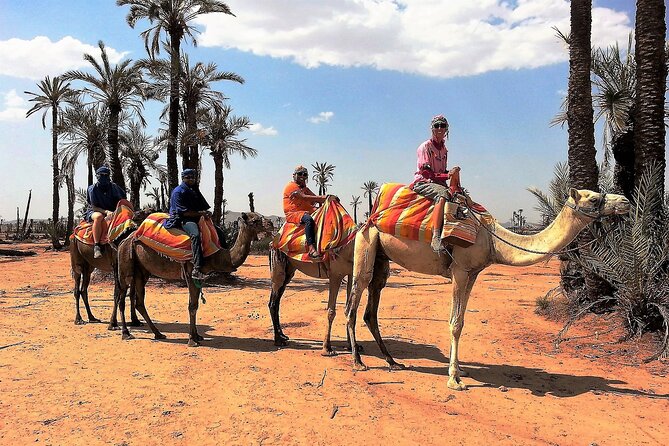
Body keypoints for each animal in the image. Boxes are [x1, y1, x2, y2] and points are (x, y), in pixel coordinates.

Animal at [116, 214, 272, 346]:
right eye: (255, 220)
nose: (270, 224)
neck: (215, 254)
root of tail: (124, 240)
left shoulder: (199, 277)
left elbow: (195, 305)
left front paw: (197, 336)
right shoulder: (191, 273)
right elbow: (192, 306)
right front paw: (192, 340)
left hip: (141, 272)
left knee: (139, 302)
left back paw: (158, 334)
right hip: (125, 267)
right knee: (121, 297)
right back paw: (126, 333)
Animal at [348, 188, 628, 390]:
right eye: (594, 198)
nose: (625, 200)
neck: (493, 240)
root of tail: (368, 220)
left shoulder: (473, 274)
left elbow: (462, 321)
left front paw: (460, 369)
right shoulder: (460, 271)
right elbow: (454, 324)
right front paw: (454, 379)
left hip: (382, 259)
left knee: (370, 310)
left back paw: (392, 361)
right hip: (366, 247)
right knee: (353, 304)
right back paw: (358, 361)